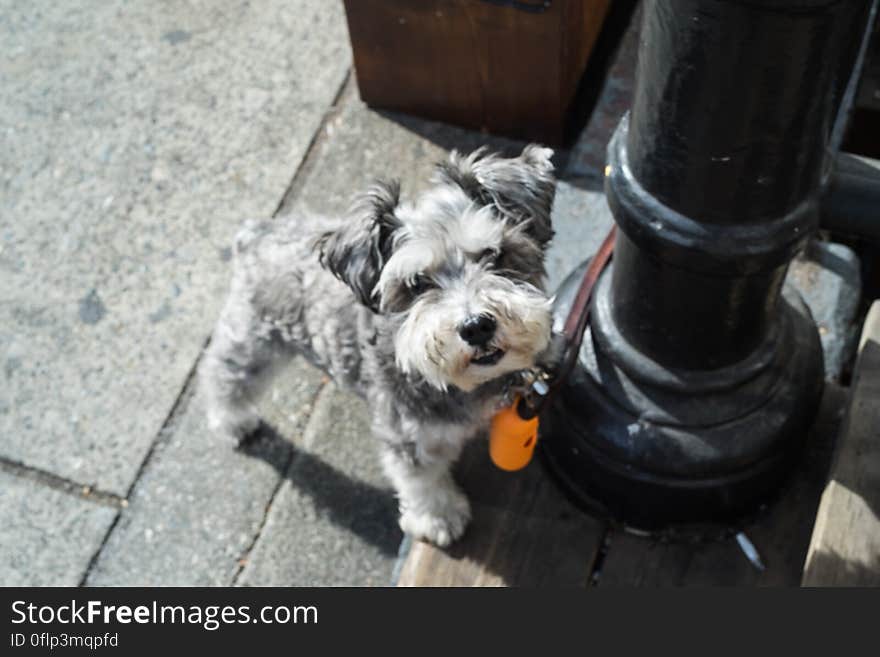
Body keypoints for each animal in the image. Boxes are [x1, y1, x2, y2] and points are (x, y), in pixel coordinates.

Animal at [201, 146, 556, 544]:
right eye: (416, 283)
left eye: (495, 254)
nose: (476, 326)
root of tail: (255, 235)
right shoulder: (408, 437)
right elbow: (422, 482)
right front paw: (438, 518)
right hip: (253, 342)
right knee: (221, 374)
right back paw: (232, 421)